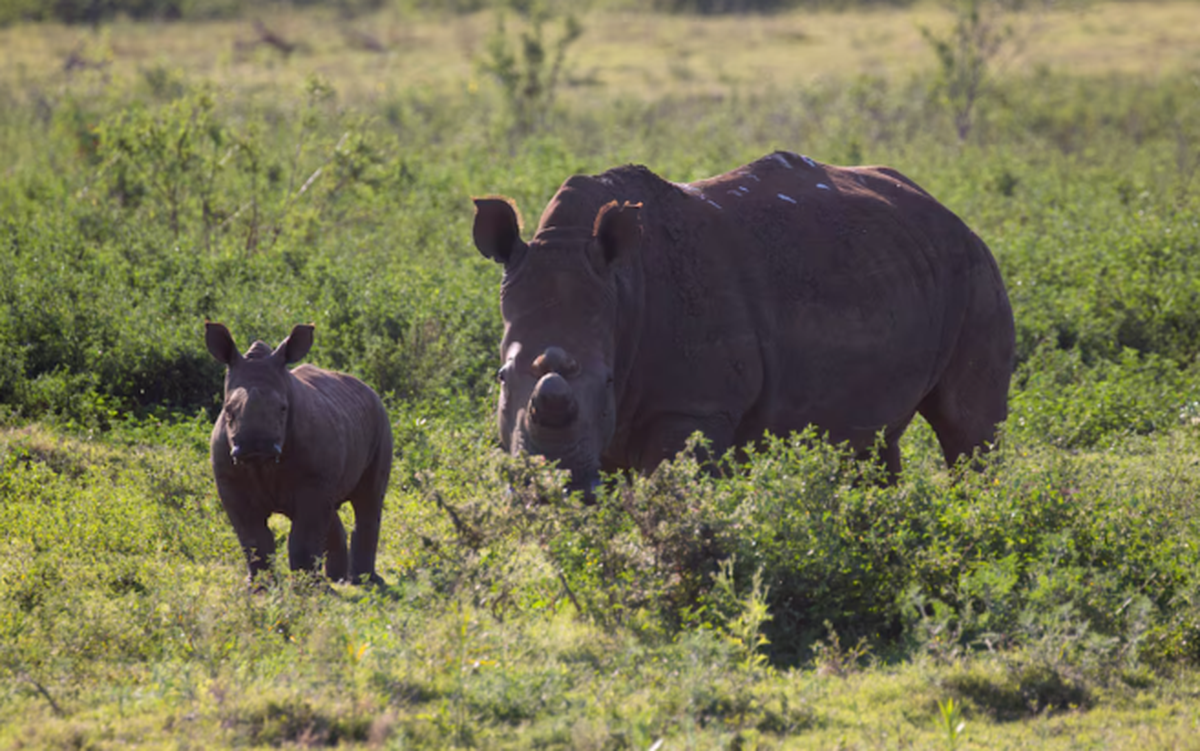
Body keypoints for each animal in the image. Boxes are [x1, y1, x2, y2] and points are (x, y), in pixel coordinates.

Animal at [206, 319, 391, 583]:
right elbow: (252, 536)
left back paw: (364, 581)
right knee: (331, 509)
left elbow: (304, 535)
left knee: (368, 499)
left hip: (380, 418)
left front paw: (307, 587)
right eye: (228, 410)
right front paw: (259, 586)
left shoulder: (313, 478)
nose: (255, 446)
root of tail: (367, 387)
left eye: (283, 409)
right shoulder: (229, 480)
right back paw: (338, 579)